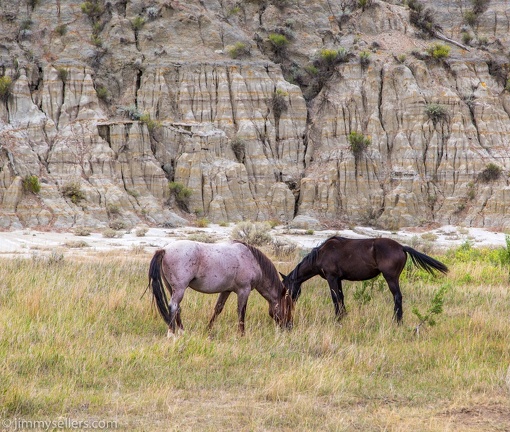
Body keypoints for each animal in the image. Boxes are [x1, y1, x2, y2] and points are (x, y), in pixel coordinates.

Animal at [280, 236, 448, 324]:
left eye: (286, 290)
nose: (287, 307)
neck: (322, 254)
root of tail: (401, 247)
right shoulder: (338, 279)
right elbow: (341, 297)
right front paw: (343, 316)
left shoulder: (331, 278)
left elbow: (335, 297)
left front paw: (337, 319)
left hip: (391, 278)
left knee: (397, 297)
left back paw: (397, 321)